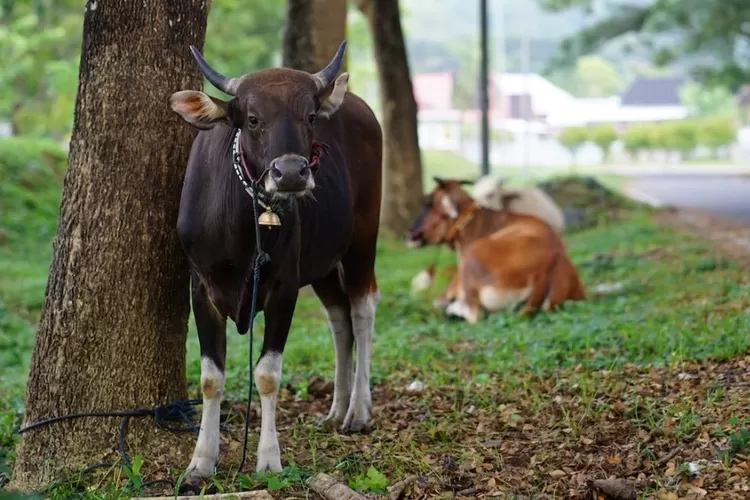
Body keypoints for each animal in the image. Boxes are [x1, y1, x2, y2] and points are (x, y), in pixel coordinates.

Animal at [170, 43, 382, 484]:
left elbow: (267, 374)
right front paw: (201, 460)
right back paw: (336, 408)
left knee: (361, 309)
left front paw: (268, 458)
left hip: (362, 240)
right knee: (339, 318)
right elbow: (210, 379)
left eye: (310, 117)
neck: (244, 228)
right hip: (322, 263)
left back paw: (357, 410)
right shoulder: (201, 289)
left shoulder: (283, 290)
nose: (290, 173)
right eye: (253, 119)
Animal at [406, 178, 588, 322]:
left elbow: (437, 301)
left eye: (428, 202)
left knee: (474, 314)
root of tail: (550, 261)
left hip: (472, 261)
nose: (409, 234)